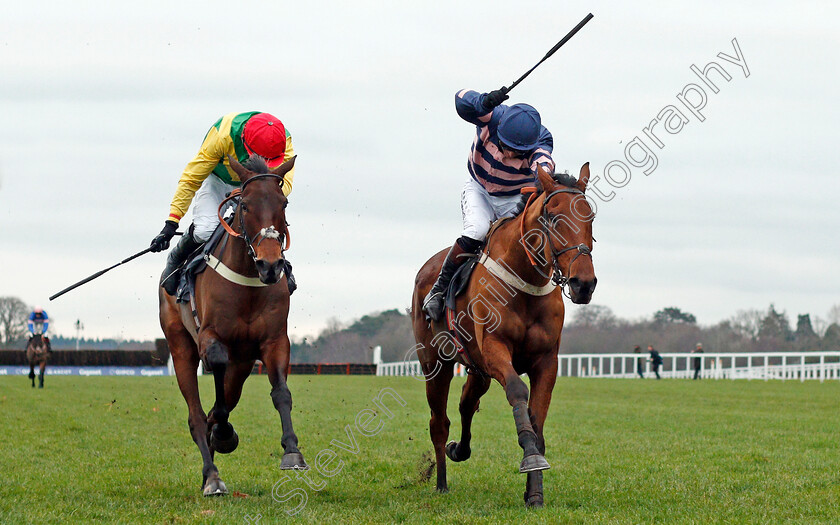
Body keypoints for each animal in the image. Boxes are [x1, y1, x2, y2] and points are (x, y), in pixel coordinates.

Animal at [159, 152, 306, 496]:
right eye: (246, 205)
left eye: (283, 203)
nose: (270, 265)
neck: (248, 280)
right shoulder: (209, 338)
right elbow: (216, 389)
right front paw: (224, 435)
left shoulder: (274, 340)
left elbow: (281, 393)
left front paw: (292, 451)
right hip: (180, 345)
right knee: (197, 415)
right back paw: (212, 476)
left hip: (241, 364)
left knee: (219, 403)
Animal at [412, 164, 596, 508]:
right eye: (554, 217)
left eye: (590, 215)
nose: (584, 283)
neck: (524, 280)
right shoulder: (495, 350)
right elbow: (517, 391)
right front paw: (531, 460)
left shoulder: (546, 360)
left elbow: (536, 417)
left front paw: (534, 492)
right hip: (436, 364)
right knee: (439, 423)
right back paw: (441, 482)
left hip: (476, 368)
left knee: (467, 403)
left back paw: (459, 450)